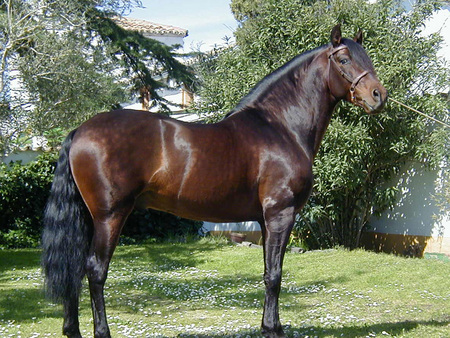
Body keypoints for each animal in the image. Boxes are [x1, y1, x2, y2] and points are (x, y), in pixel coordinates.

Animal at [41, 24, 386, 338]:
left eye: (367, 57)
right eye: (343, 59)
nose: (378, 96)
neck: (280, 127)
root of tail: (80, 130)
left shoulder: (264, 220)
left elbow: (267, 272)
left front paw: (268, 326)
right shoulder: (281, 214)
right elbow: (275, 275)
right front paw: (273, 330)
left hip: (90, 217)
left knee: (74, 268)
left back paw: (72, 329)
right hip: (110, 216)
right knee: (95, 270)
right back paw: (102, 331)